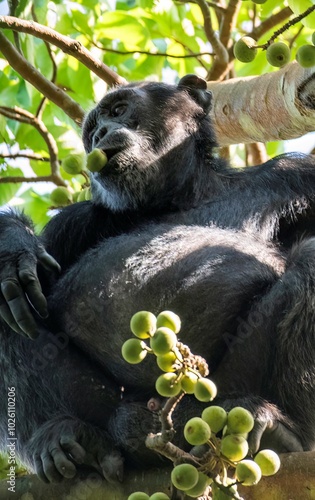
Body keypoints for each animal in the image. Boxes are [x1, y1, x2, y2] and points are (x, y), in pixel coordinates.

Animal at [0, 74, 315, 484]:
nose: (101, 133)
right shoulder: (73, 222)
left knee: (309, 259)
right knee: (10, 309)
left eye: (119, 110)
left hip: (226, 387)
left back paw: (281, 426)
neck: (178, 195)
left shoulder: (294, 176)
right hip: (110, 406)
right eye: (91, 131)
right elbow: (39, 263)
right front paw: (14, 249)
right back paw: (68, 437)